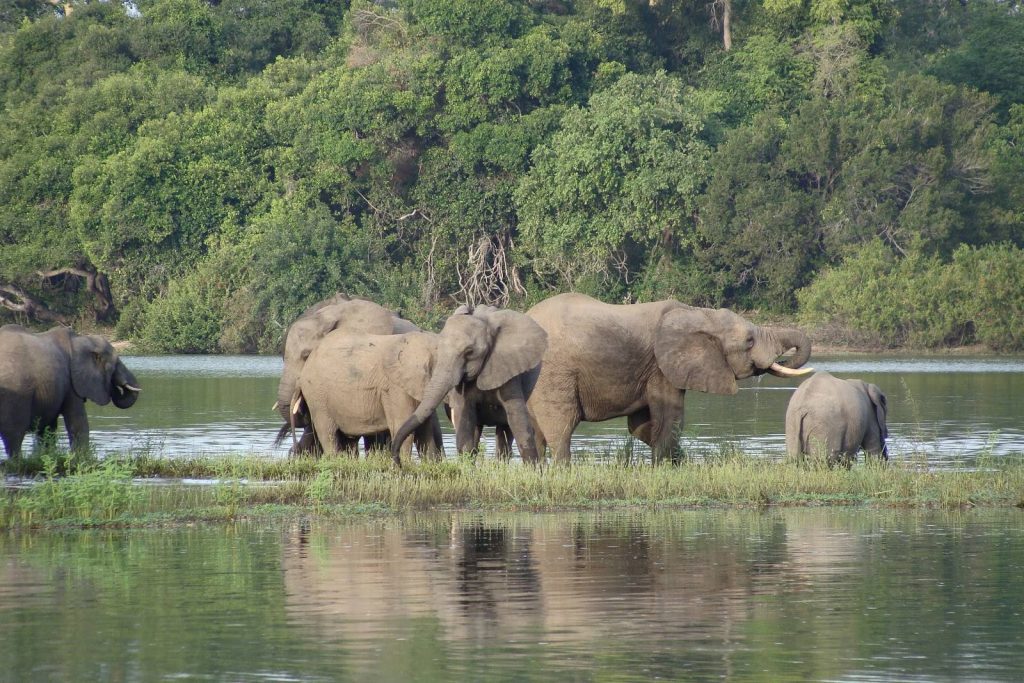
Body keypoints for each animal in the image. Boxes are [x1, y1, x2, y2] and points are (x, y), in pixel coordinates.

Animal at [0, 324, 140, 458]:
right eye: (116, 363)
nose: (116, 387)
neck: (81, 339)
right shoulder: (71, 383)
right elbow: (78, 422)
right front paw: (80, 458)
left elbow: (47, 428)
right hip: (16, 395)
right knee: (14, 436)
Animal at [397, 305, 547, 464]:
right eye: (438, 349)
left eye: (469, 352)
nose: (397, 461)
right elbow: (465, 418)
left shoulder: (509, 369)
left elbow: (518, 419)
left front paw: (533, 467)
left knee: (504, 431)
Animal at [525, 293, 814, 464]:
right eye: (749, 341)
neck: (700, 313)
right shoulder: (661, 367)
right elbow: (669, 417)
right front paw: (666, 467)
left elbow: (641, 425)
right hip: (554, 372)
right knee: (561, 425)